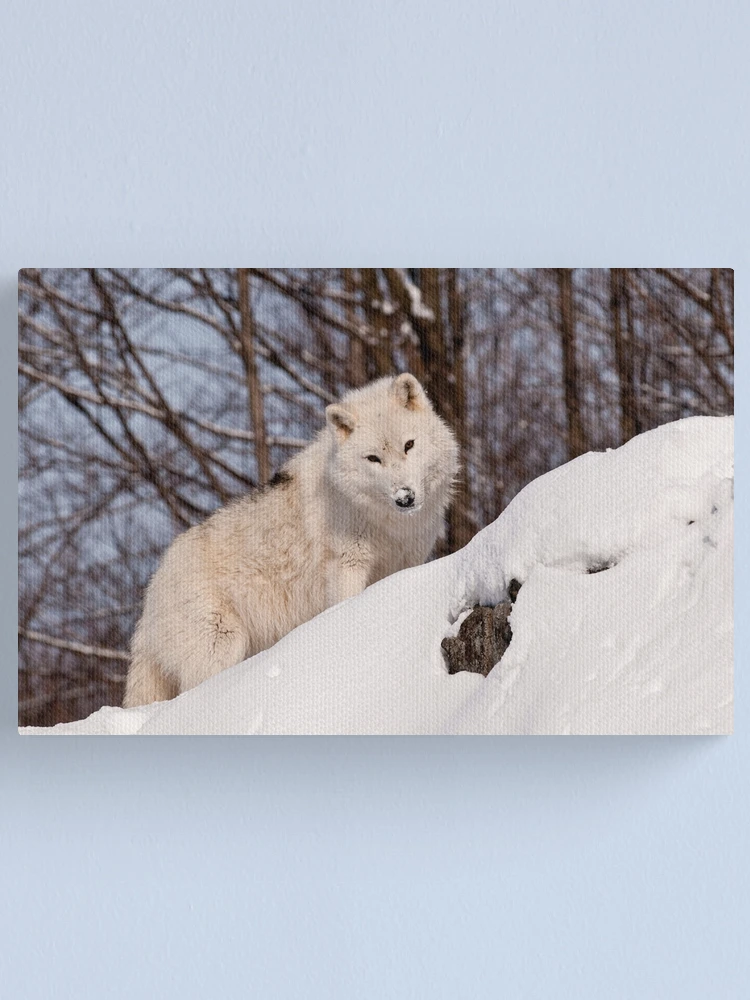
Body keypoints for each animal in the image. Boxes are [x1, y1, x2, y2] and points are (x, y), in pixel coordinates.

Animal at [123, 373, 460, 706]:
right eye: (373, 459)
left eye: (409, 445)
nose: (405, 497)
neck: (385, 522)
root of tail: (150, 595)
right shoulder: (348, 565)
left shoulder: (405, 563)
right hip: (223, 645)